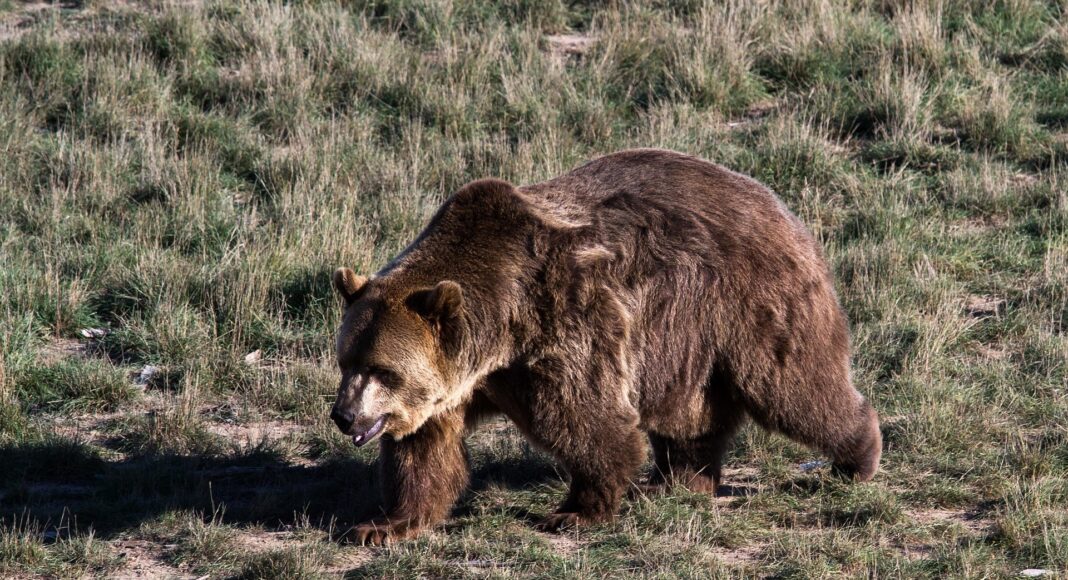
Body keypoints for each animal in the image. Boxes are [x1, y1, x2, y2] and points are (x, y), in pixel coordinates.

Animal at [329, 148, 881, 545]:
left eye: (384, 370)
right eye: (347, 362)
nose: (344, 415)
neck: (499, 331)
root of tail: (777, 202)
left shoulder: (563, 323)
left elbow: (587, 420)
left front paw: (575, 511)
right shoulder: (453, 387)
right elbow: (424, 453)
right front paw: (383, 525)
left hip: (749, 303)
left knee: (793, 388)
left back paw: (857, 456)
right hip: (687, 340)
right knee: (691, 415)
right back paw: (678, 479)